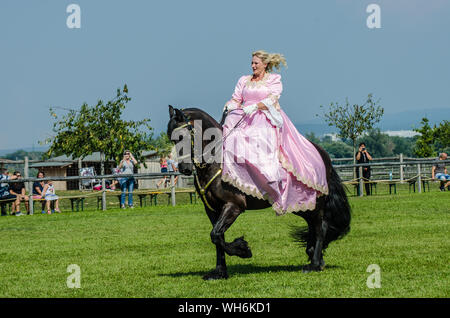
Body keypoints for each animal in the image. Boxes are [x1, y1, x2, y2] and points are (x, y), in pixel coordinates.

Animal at [167, 105, 350, 280]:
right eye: (172, 138)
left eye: (183, 136)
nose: (184, 169)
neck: (217, 160)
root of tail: (322, 153)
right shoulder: (212, 209)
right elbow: (217, 238)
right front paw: (219, 272)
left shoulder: (234, 206)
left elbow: (216, 235)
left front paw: (243, 249)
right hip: (301, 205)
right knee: (313, 225)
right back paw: (314, 256)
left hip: (315, 203)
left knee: (320, 227)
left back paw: (314, 264)